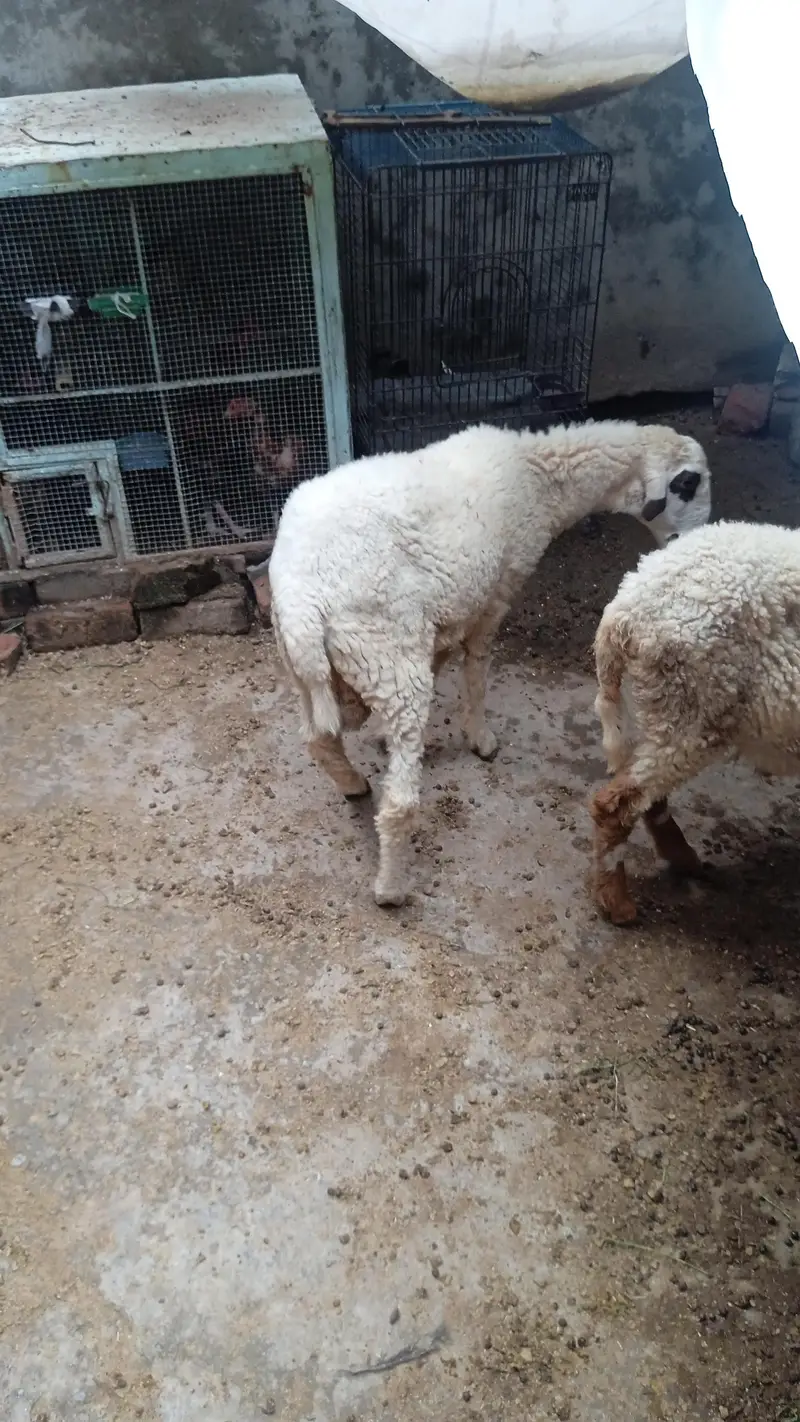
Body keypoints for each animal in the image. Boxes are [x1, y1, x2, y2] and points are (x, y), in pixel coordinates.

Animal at [268, 419, 712, 906]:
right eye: (687, 483)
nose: (689, 541)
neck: (538, 479)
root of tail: (301, 598)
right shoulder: (497, 592)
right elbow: (477, 670)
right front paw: (480, 739)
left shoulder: (449, 609)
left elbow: (444, 661)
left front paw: (389, 737)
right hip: (384, 652)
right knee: (397, 800)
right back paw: (391, 888)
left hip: (313, 666)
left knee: (319, 739)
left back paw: (352, 783)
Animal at [590, 519, 800, 925]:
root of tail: (623, 613)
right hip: (694, 711)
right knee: (618, 804)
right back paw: (618, 904)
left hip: (670, 710)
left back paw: (682, 859)